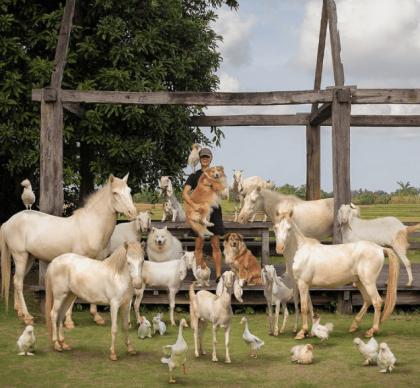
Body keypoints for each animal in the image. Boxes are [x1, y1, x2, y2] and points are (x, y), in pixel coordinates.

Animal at [0, 173, 136, 324]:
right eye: (115, 193)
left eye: (129, 191)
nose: (132, 212)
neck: (92, 226)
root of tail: (8, 222)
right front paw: (69, 321)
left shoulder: (97, 261)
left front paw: (96, 317)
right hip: (20, 256)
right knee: (18, 282)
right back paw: (27, 316)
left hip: (29, 258)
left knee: (16, 279)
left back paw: (19, 312)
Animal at [274, 208, 398, 338]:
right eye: (275, 227)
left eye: (289, 228)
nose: (279, 248)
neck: (300, 251)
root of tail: (380, 249)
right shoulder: (306, 285)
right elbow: (310, 307)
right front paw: (312, 331)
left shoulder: (303, 284)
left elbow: (304, 307)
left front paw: (302, 332)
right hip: (360, 282)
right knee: (367, 300)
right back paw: (353, 326)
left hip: (368, 282)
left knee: (377, 302)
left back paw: (372, 330)